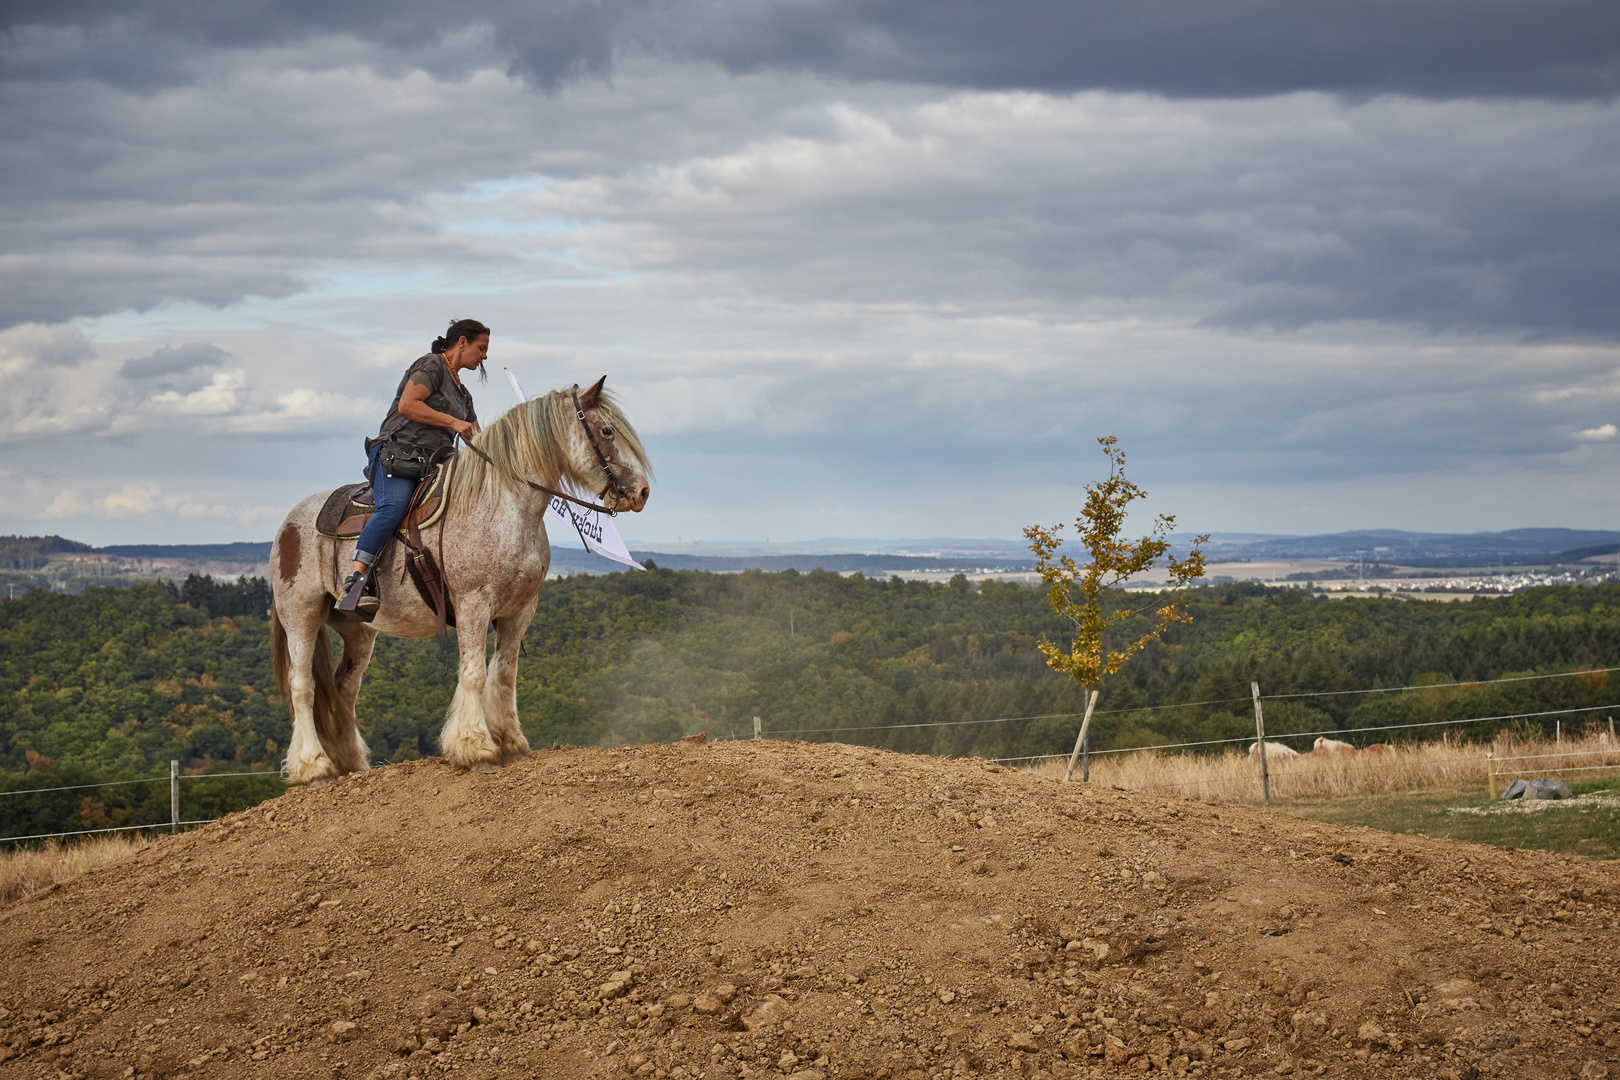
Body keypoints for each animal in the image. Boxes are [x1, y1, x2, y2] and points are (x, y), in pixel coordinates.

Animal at [268, 382, 648, 786]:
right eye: (607, 431)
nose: (641, 492)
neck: (503, 506)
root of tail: (289, 523)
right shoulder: (473, 604)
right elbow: (474, 673)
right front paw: (477, 747)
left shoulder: (520, 611)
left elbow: (505, 673)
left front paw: (511, 742)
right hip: (302, 616)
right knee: (302, 686)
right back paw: (314, 767)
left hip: (359, 629)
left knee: (345, 687)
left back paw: (350, 762)